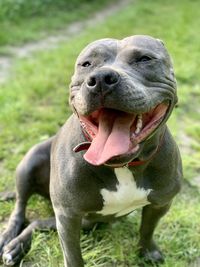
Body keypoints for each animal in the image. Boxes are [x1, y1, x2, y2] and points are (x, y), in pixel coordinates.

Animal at [0, 35, 182, 266]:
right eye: (86, 64)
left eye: (144, 59)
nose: (102, 78)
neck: (123, 166)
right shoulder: (68, 216)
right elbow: (73, 255)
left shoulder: (160, 204)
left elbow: (148, 229)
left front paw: (147, 251)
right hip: (29, 162)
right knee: (20, 205)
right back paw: (9, 237)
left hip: (85, 221)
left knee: (36, 223)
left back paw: (17, 246)